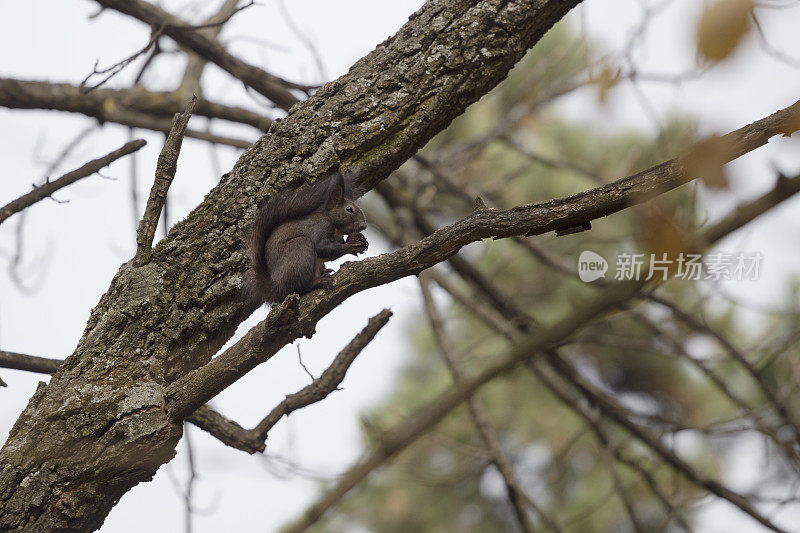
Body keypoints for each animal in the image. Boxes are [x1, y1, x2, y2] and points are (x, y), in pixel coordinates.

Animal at [244, 170, 368, 304]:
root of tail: (275, 289)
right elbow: (322, 248)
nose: (364, 226)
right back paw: (318, 281)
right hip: (300, 249)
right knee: (299, 288)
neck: (335, 225)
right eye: (349, 209)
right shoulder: (320, 227)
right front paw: (351, 247)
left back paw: (325, 272)